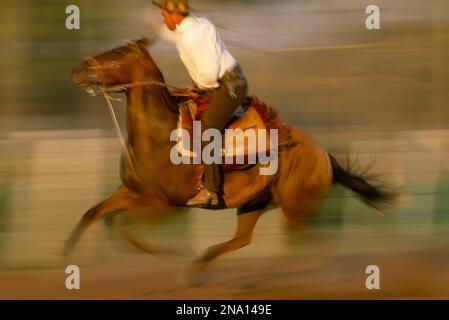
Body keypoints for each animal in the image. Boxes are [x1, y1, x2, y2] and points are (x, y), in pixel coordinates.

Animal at [67, 37, 396, 276]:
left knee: (311, 243)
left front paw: (170, 252)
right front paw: (66, 253)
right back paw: (204, 269)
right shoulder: (132, 192)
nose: (79, 69)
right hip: (256, 202)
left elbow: (121, 224)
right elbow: (95, 214)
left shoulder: (163, 205)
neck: (159, 136)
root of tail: (324, 153)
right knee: (245, 239)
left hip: (295, 206)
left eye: (117, 55)